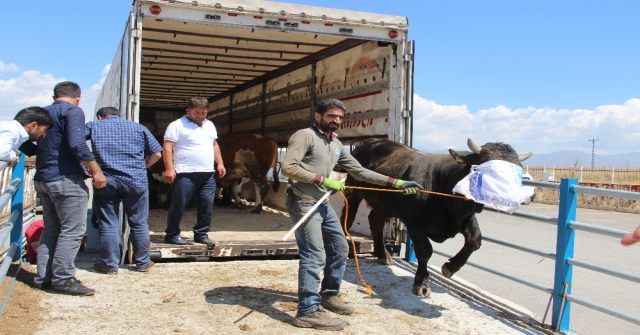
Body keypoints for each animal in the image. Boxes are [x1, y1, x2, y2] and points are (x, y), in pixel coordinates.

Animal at [342, 138, 532, 296]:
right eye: (489, 169)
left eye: (518, 170)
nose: (516, 197)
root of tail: (371, 142)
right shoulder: (414, 221)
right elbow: (425, 250)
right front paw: (422, 283)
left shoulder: (465, 217)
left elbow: (474, 240)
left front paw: (451, 267)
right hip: (353, 192)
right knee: (348, 217)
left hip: (383, 203)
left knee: (376, 221)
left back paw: (383, 255)